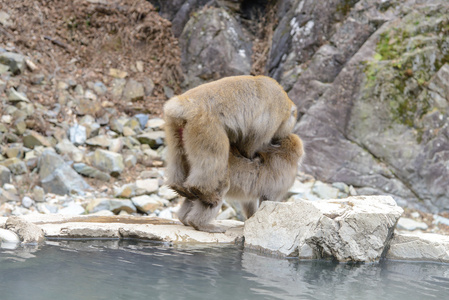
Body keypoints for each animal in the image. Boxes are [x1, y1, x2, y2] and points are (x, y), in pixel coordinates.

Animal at [164, 74, 298, 232]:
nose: (284, 135)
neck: (284, 100)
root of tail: (183, 104)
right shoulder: (272, 119)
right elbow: (252, 142)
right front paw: (249, 155)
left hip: (175, 127)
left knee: (177, 155)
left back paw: (177, 186)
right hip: (205, 126)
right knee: (214, 159)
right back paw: (203, 193)